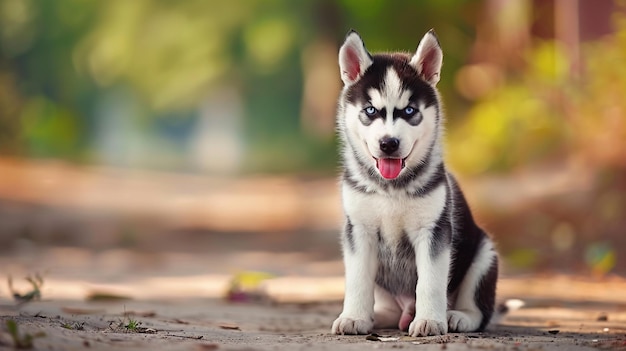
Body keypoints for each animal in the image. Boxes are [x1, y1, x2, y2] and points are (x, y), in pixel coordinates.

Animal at [332, 31, 498, 338]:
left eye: (409, 111)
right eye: (370, 110)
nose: (389, 143)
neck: (391, 188)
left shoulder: (434, 232)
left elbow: (430, 282)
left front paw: (430, 320)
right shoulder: (358, 230)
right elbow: (358, 279)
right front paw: (354, 317)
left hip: (484, 255)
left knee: (481, 311)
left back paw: (457, 317)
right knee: (387, 305)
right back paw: (377, 316)